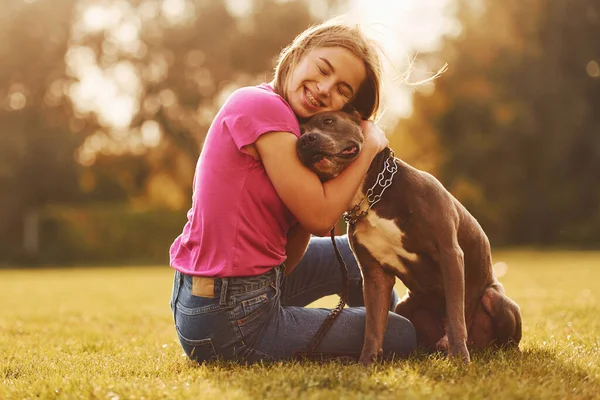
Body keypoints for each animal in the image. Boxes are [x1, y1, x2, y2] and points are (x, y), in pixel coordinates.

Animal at [298, 111, 524, 364]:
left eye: (328, 120)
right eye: (299, 130)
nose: (305, 140)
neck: (371, 198)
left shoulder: (449, 253)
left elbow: (455, 313)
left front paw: (459, 357)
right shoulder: (375, 275)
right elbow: (373, 326)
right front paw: (366, 363)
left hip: (495, 300)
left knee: (503, 336)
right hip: (405, 307)